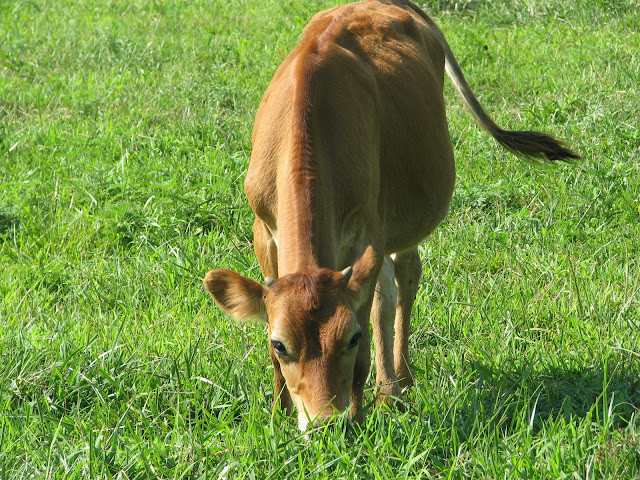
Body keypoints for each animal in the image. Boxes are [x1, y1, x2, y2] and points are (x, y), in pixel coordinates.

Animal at [203, 0, 579, 431]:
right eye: (280, 344)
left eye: (350, 338)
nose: (325, 423)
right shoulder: (264, 230)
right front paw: (278, 416)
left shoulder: (366, 232)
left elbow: (370, 332)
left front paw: (359, 415)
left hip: (402, 217)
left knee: (404, 278)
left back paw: (397, 385)